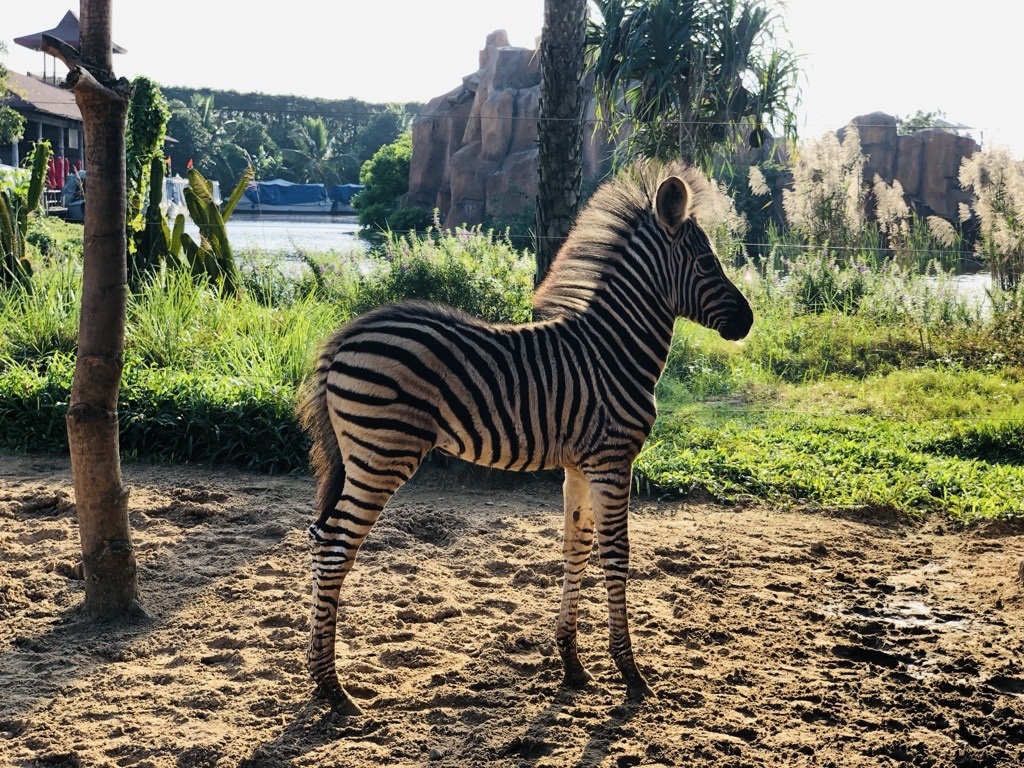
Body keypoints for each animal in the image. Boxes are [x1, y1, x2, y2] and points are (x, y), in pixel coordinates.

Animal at [294, 159, 753, 720]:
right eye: (708, 263)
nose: (748, 321)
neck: (614, 351)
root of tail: (346, 337)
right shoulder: (612, 460)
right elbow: (616, 554)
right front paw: (631, 676)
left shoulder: (580, 465)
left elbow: (576, 548)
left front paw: (573, 667)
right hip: (381, 454)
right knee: (335, 544)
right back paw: (333, 690)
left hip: (360, 456)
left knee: (321, 538)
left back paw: (322, 681)